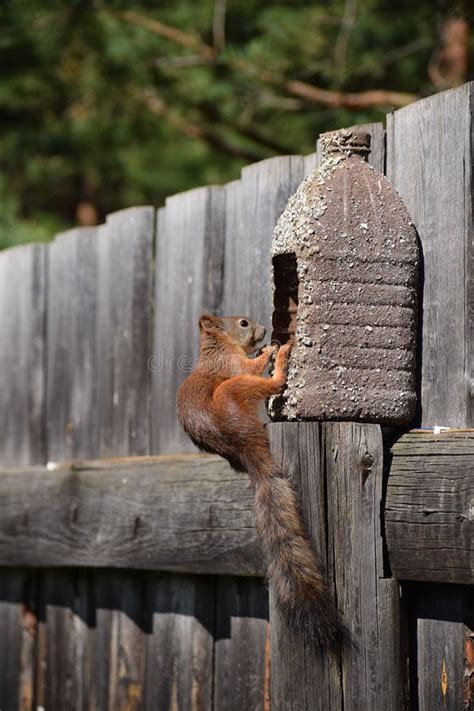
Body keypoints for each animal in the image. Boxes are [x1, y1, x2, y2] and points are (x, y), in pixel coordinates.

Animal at [177, 314, 348, 648]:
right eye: (243, 323)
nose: (265, 330)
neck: (218, 345)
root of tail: (244, 446)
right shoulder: (233, 366)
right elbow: (252, 366)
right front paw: (269, 349)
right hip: (234, 391)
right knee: (271, 384)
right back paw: (280, 361)